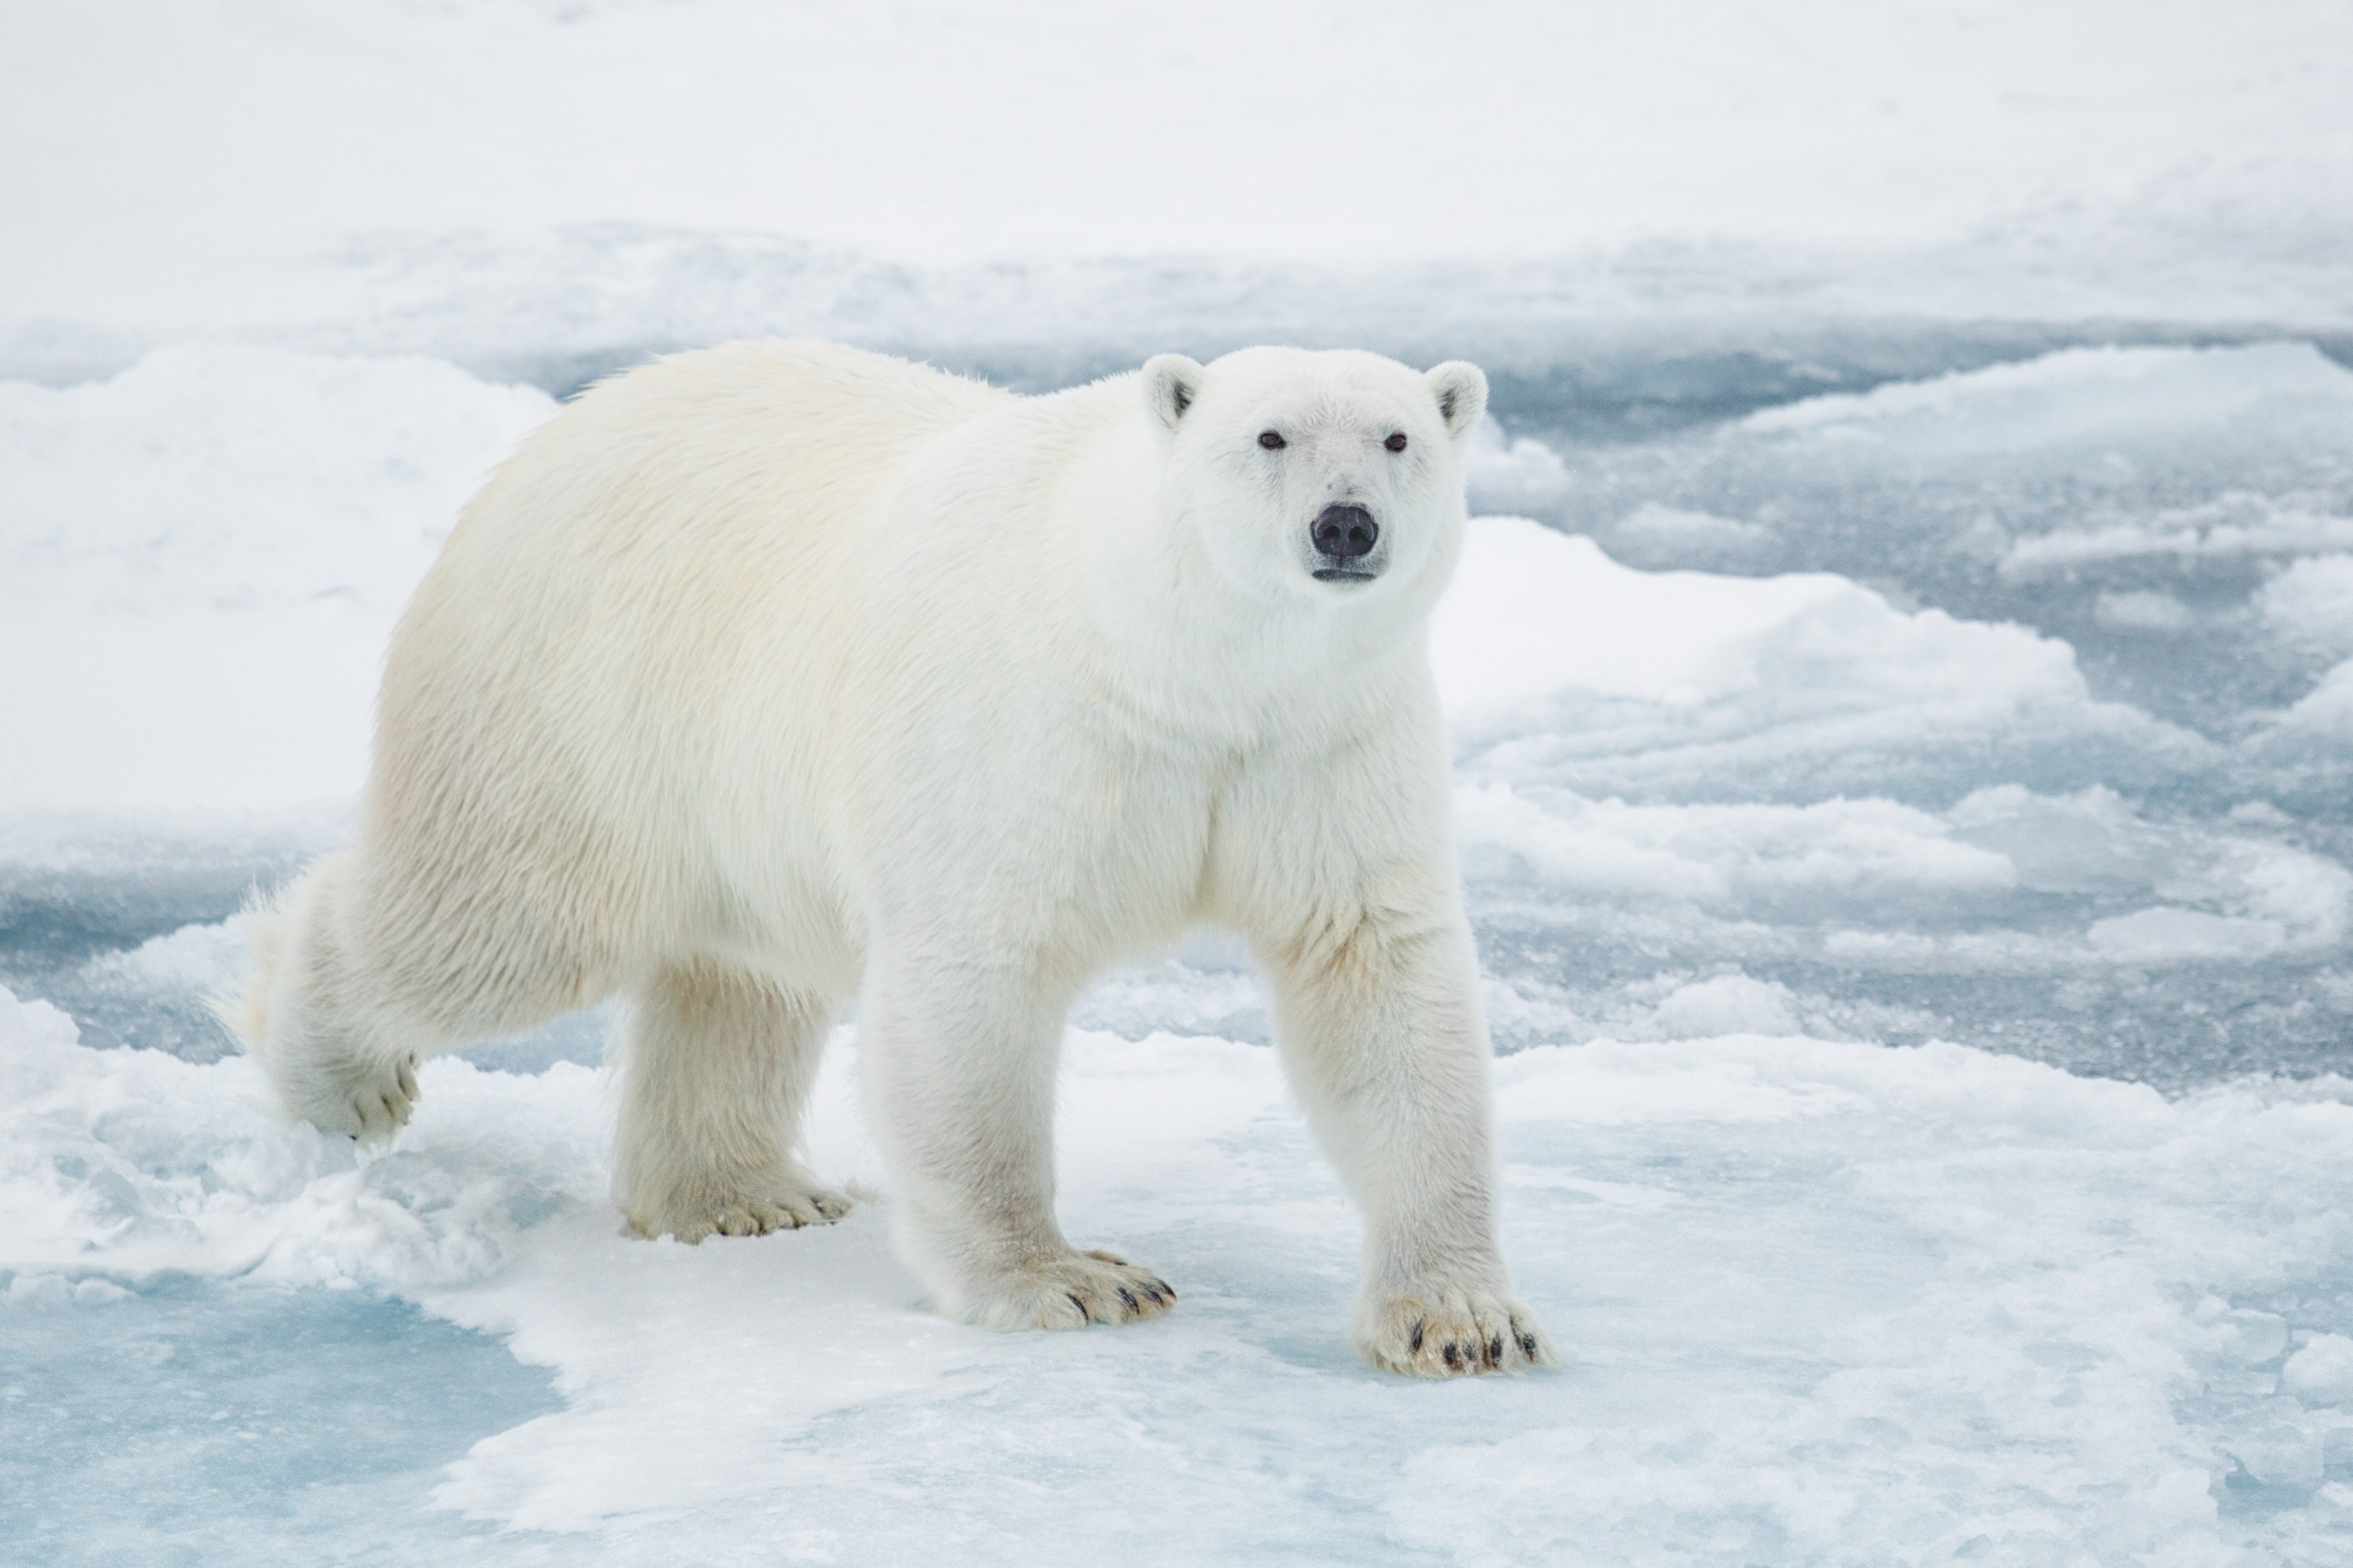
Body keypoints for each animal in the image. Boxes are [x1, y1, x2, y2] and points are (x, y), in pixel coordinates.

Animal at [221, 339, 1552, 1377]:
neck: (1183, 667)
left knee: (734, 977)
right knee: (489, 921)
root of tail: (548, 439)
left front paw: (1461, 1316)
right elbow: (975, 984)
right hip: (571, 707)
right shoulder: (1034, 736)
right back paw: (339, 1077)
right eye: (1267, 435)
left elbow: (1377, 978)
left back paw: (743, 1192)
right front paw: (1071, 1277)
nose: (1346, 524)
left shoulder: (1320, 744)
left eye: (1396, 437)